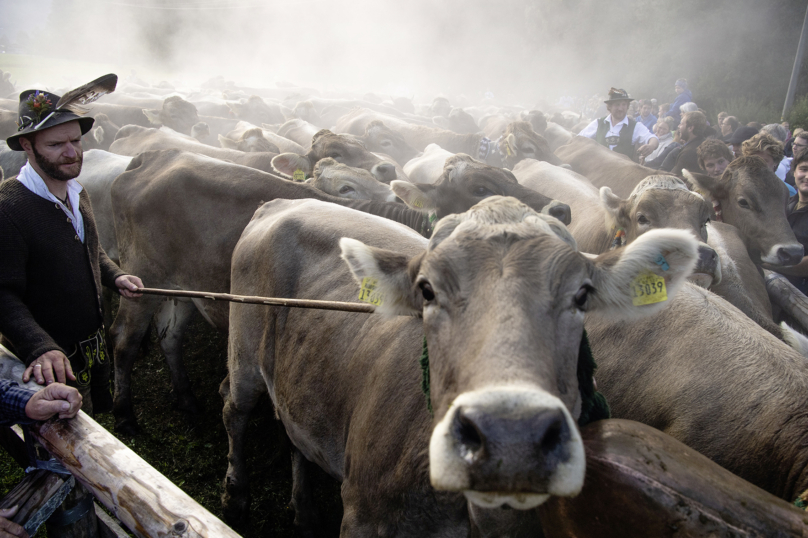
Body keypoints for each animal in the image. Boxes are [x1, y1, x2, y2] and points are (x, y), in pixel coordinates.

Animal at [110, 148, 572, 432]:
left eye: (510, 174)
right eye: (479, 188)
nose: (562, 209)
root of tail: (155, 155)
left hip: (182, 289)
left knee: (170, 338)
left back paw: (187, 400)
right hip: (141, 280)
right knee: (124, 343)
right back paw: (126, 416)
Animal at [223, 196, 700, 532]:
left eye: (582, 295)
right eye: (426, 290)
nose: (510, 436)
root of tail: (283, 202)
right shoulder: (364, 513)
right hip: (243, 347)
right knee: (235, 408)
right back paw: (234, 495)